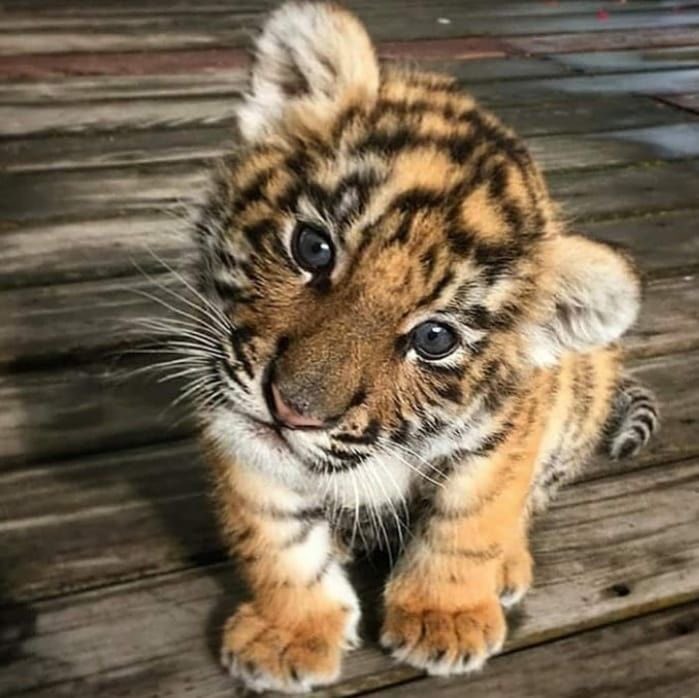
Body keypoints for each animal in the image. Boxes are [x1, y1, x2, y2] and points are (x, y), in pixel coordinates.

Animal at [184, 2, 659, 693]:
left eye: (435, 339)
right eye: (312, 248)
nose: (291, 410)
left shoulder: (502, 436)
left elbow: (470, 521)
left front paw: (445, 618)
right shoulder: (233, 419)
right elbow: (274, 536)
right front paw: (290, 632)